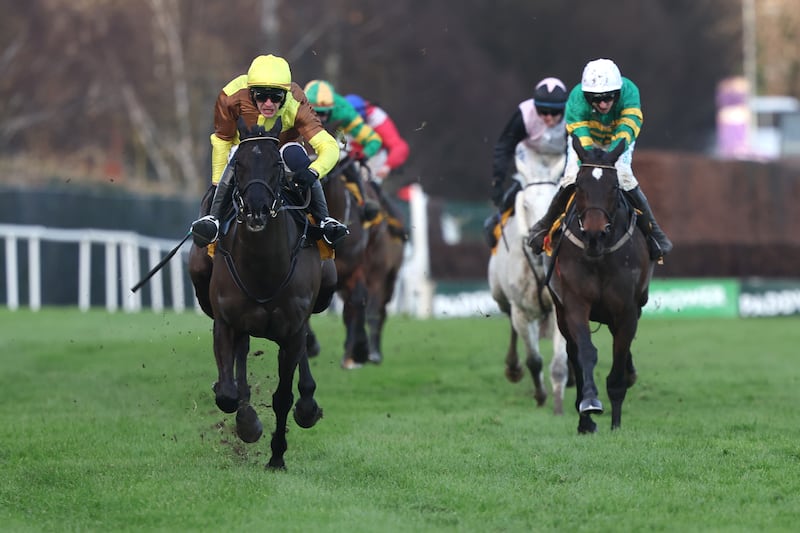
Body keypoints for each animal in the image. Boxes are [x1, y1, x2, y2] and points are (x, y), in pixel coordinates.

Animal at [189, 121, 336, 470]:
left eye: (275, 166)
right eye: (239, 165)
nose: (256, 209)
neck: (263, 271)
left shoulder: (291, 330)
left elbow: (283, 396)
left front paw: (277, 456)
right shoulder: (225, 323)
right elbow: (228, 393)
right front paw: (248, 424)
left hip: (324, 292)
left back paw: (308, 406)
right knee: (241, 357)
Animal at [488, 143, 568, 414]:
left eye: (556, 199)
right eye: (525, 205)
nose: (540, 240)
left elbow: (560, 361)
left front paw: (558, 403)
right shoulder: (521, 309)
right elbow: (534, 359)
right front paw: (541, 396)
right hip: (500, 296)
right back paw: (513, 368)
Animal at [552, 136, 656, 432]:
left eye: (613, 187)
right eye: (579, 185)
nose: (594, 234)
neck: (599, 257)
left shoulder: (627, 311)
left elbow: (619, 367)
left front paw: (616, 424)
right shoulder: (575, 303)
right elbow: (586, 352)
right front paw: (589, 404)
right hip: (561, 314)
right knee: (573, 353)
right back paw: (583, 420)